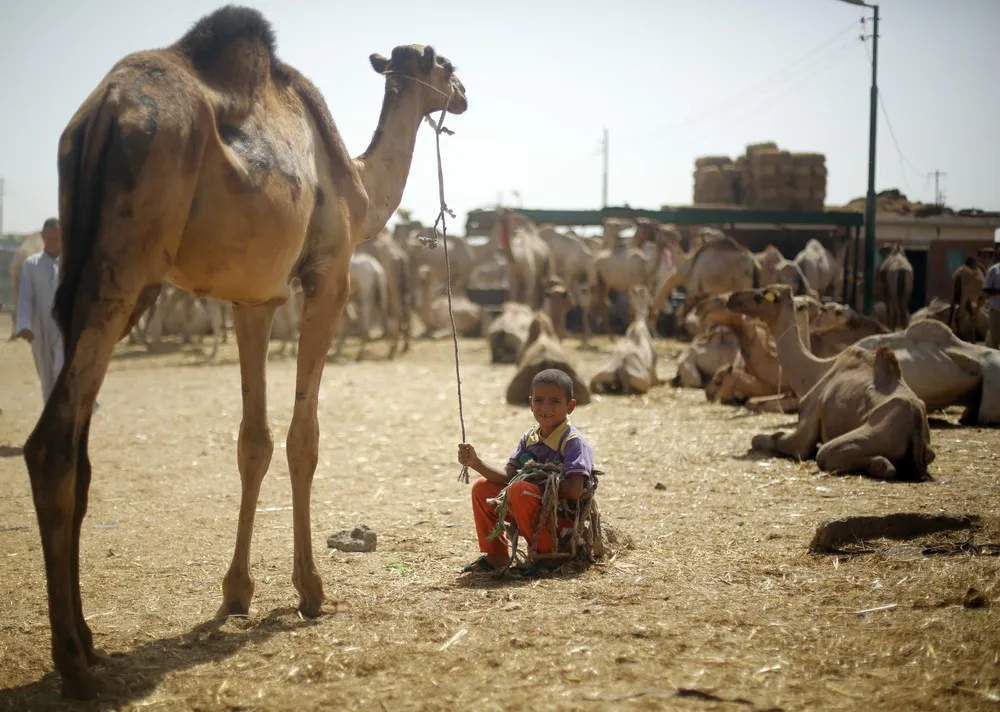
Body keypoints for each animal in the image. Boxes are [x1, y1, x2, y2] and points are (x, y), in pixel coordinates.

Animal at [22, 5, 468, 696]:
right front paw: (310, 591)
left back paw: (91, 643)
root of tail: (101, 116)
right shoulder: (329, 278)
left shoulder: (251, 300)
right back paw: (72, 663)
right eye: (443, 63)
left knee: (79, 449)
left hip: (86, 268)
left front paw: (236, 593)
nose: (466, 93)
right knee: (52, 443)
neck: (358, 185)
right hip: (124, 266)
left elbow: (252, 441)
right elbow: (303, 437)